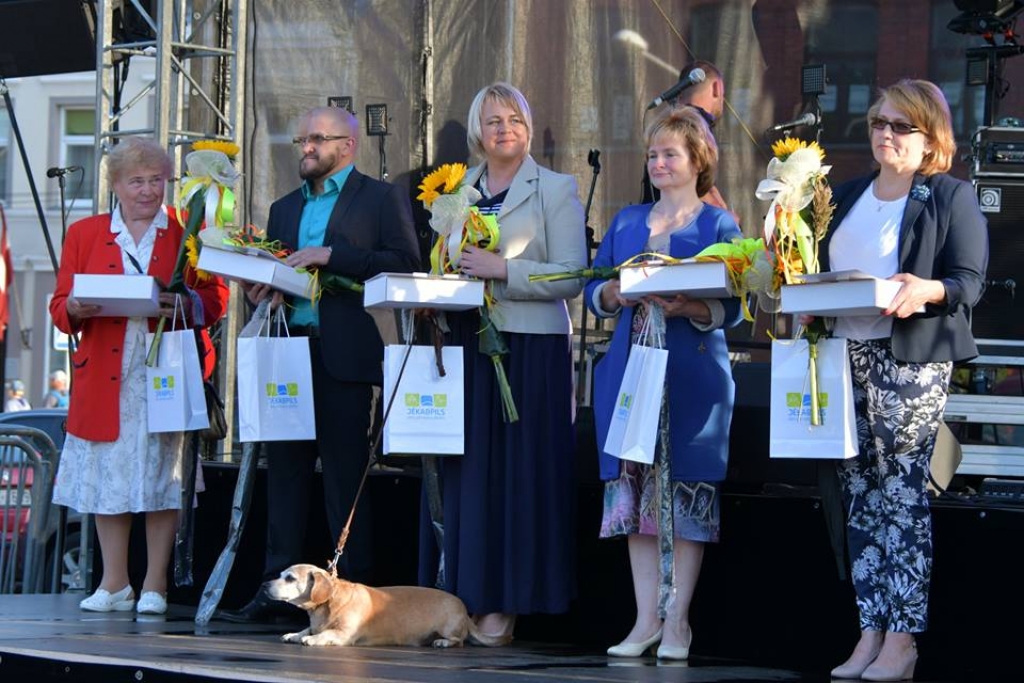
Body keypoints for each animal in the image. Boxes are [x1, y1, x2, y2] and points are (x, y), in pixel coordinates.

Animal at [264, 565, 512, 651]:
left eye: (289, 578)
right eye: (280, 575)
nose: (264, 584)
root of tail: (463, 608)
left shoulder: (344, 634)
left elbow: (326, 634)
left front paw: (313, 638)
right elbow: (307, 630)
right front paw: (295, 634)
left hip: (449, 627)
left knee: (459, 641)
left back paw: (443, 642)